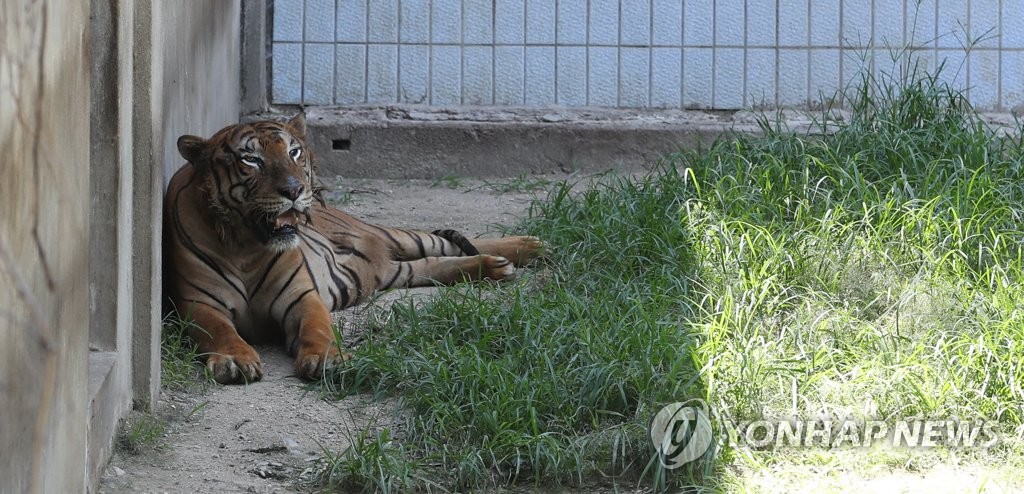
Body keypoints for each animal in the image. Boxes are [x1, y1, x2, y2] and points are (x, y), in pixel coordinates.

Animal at [163, 113, 544, 383]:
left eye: (294, 152)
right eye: (251, 160)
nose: (295, 190)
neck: (245, 246)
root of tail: (382, 259)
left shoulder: (301, 296)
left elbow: (318, 327)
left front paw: (328, 359)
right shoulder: (200, 304)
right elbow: (221, 331)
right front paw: (235, 360)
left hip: (395, 236)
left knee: (446, 242)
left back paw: (527, 248)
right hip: (400, 272)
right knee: (436, 263)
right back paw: (497, 266)